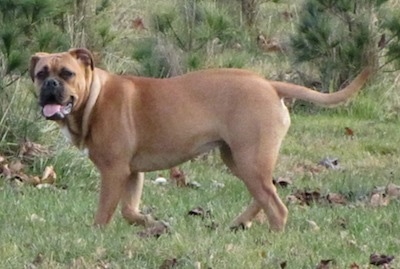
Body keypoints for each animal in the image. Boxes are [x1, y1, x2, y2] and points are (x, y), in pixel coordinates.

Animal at [29, 48, 370, 230]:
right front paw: (153, 224)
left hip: (250, 159)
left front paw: (97, 232)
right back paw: (239, 223)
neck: (94, 99)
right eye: (41, 72)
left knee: (275, 205)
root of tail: (269, 85)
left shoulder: (114, 172)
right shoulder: (132, 173)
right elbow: (129, 210)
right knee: (264, 196)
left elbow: (103, 213)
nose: (49, 84)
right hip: (239, 159)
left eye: (67, 73)